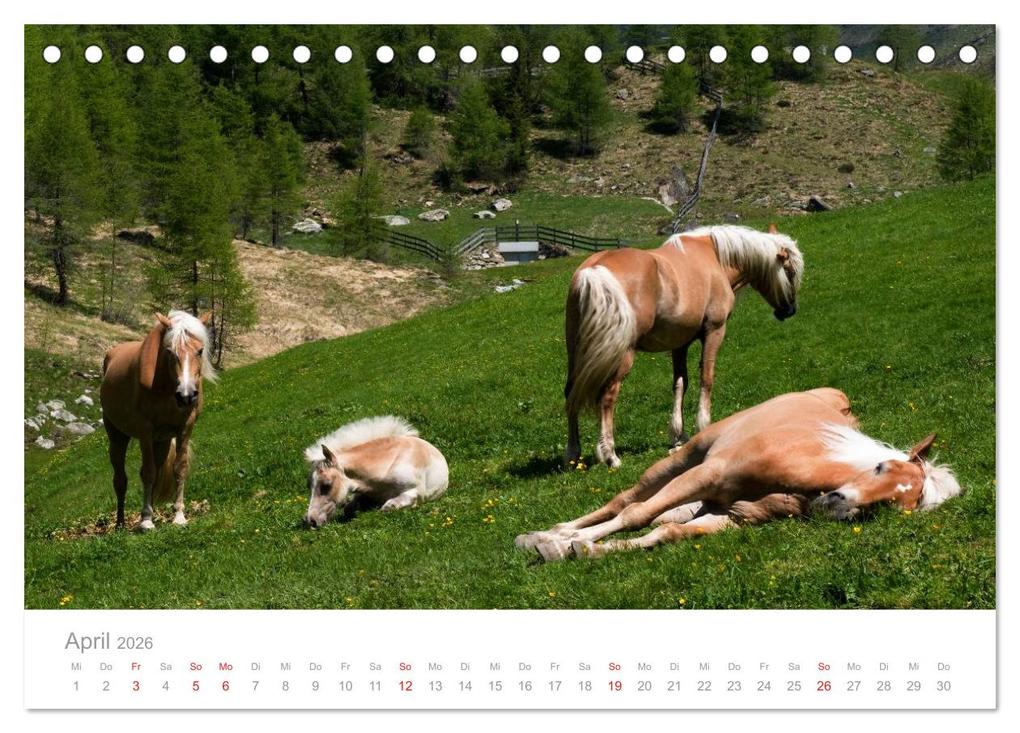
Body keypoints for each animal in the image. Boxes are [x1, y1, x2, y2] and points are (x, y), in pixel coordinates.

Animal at [100, 310, 215, 530]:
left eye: (200, 350)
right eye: (170, 351)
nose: (186, 395)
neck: (165, 387)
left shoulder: (185, 428)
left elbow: (178, 469)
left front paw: (179, 515)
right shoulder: (145, 431)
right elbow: (148, 473)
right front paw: (146, 520)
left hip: (161, 440)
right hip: (118, 437)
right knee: (120, 479)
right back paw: (120, 523)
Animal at [517, 388, 962, 561]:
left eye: (890, 505)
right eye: (880, 466)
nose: (836, 502)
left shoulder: (736, 515)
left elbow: (668, 532)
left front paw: (586, 550)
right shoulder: (708, 475)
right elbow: (636, 515)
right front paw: (563, 543)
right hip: (685, 460)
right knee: (625, 500)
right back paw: (550, 533)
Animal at [564, 224, 804, 468]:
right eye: (789, 271)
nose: (789, 310)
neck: (715, 258)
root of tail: (593, 270)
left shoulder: (680, 343)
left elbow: (680, 384)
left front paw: (678, 437)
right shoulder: (714, 330)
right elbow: (706, 378)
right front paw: (703, 427)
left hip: (576, 352)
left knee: (571, 392)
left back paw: (573, 453)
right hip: (622, 355)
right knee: (608, 395)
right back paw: (610, 455)